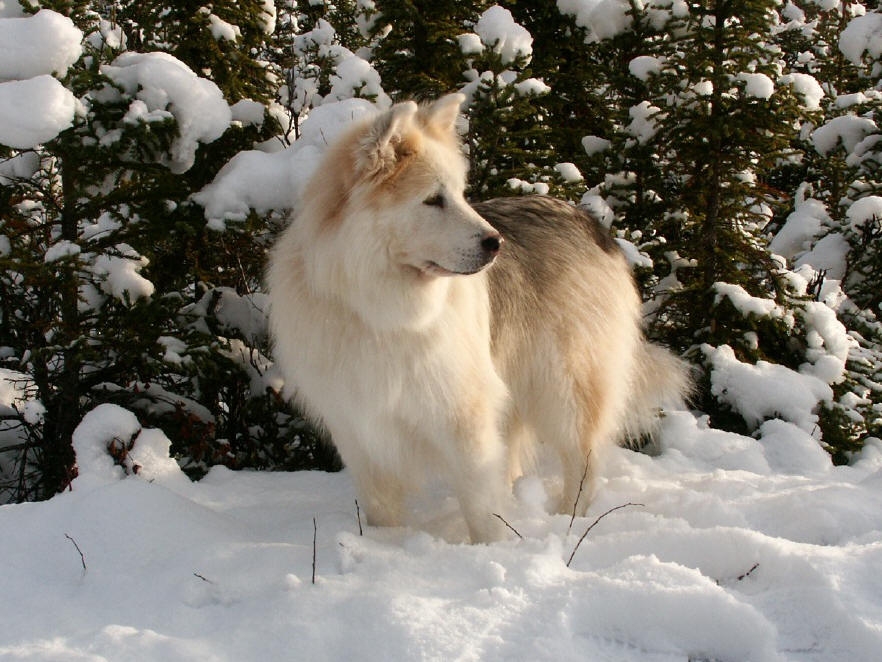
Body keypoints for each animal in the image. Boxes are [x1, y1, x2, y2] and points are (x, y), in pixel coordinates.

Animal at [268, 93, 688, 544]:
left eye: (459, 194)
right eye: (434, 199)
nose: (496, 243)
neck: (380, 311)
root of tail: (590, 222)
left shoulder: (463, 415)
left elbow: (480, 503)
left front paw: (491, 547)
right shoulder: (359, 428)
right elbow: (383, 509)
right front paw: (387, 546)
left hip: (565, 386)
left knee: (583, 465)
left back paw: (569, 522)